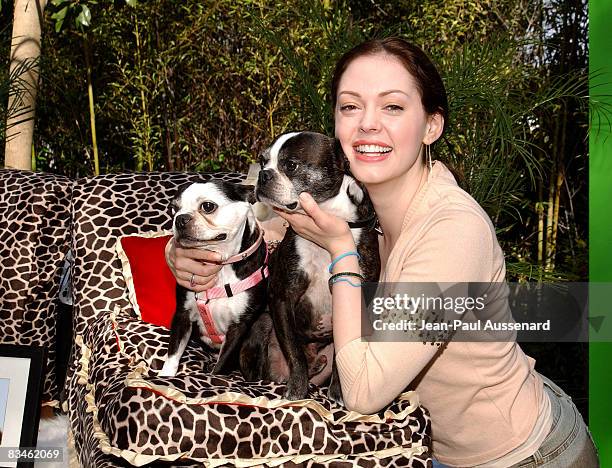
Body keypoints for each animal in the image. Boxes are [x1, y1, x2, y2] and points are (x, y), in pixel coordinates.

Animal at [160, 181, 268, 378]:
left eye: (208, 206)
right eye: (173, 209)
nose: (180, 219)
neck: (221, 264)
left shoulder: (239, 326)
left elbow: (221, 365)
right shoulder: (182, 315)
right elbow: (173, 353)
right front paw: (164, 376)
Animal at [241, 131, 380, 402]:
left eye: (291, 165)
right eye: (263, 162)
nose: (263, 175)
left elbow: (341, 359)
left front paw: (337, 392)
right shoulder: (282, 298)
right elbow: (295, 353)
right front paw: (297, 390)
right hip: (263, 323)